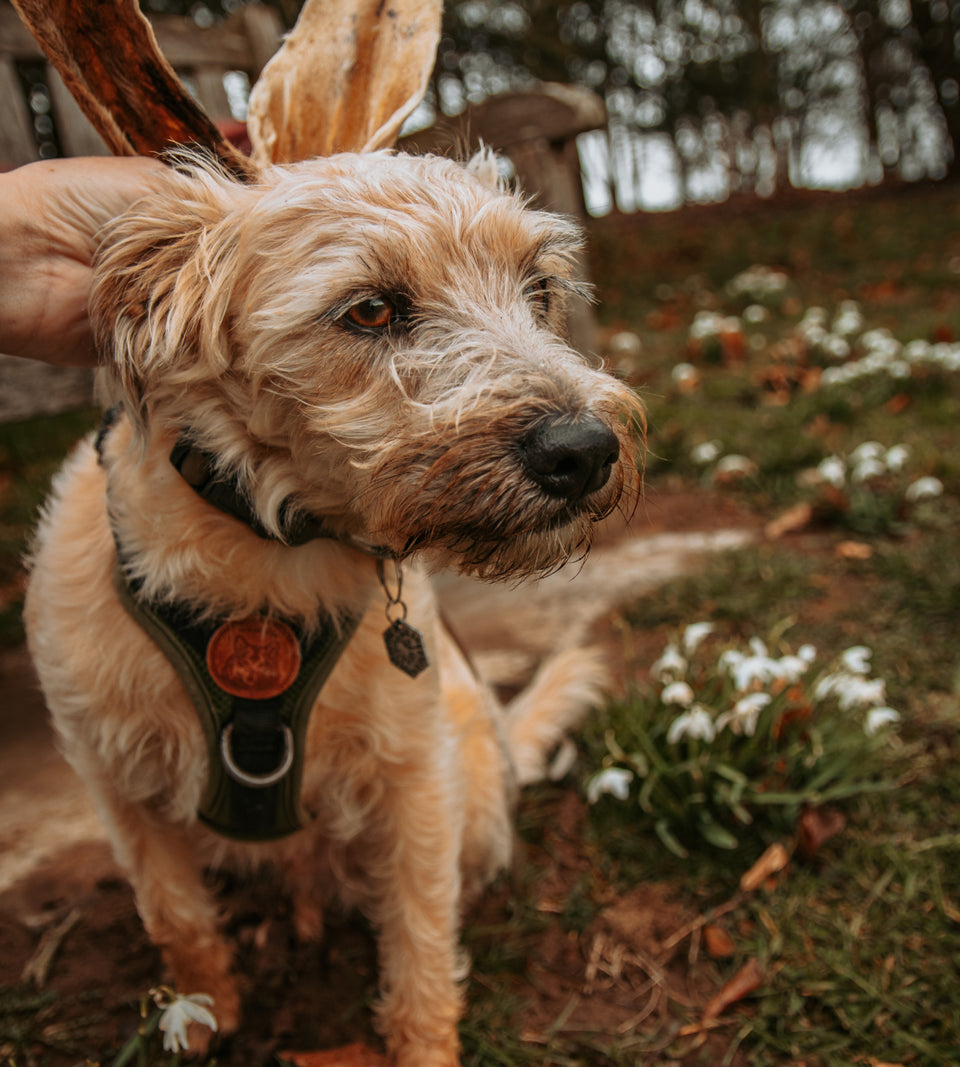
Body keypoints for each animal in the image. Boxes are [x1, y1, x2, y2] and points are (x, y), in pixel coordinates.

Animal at [22, 146, 640, 1062]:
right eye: (372, 309)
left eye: (537, 290)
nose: (588, 449)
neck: (268, 560)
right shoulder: (117, 782)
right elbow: (176, 916)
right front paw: (202, 1016)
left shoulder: (414, 777)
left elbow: (420, 938)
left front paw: (424, 1043)